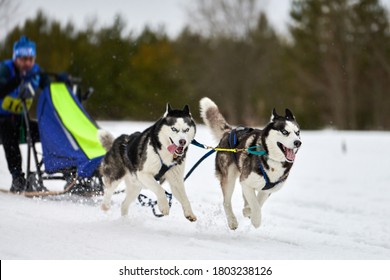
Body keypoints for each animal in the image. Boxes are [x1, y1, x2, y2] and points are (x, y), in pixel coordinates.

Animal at [201, 97, 302, 229]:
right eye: (285, 132)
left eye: (297, 132)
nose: (298, 142)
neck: (272, 159)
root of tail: (229, 132)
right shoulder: (245, 181)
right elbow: (255, 205)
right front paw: (255, 219)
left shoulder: (267, 189)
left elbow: (258, 202)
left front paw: (249, 211)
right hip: (229, 177)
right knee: (226, 202)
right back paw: (232, 221)